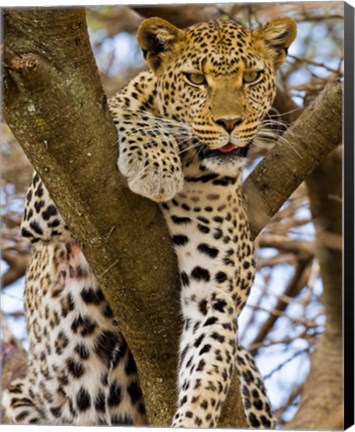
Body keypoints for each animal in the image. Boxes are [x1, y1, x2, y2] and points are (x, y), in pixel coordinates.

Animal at [2, 15, 298, 426]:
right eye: (196, 79)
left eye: (252, 76)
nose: (229, 122)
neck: (193, 163)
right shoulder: (47, 198)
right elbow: (129, 114)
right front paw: (155, 163)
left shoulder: (213, 301)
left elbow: (205, 381)